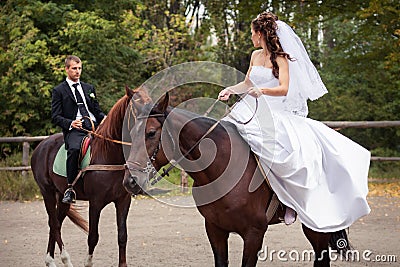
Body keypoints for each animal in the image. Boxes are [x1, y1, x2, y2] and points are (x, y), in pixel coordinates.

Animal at [31, 87, 149, 267]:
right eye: (138, 109)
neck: (108, 154)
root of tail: (41, 146)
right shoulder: (95, 203)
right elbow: (93, 237)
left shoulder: (123, 201)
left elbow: (122, 236)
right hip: (47, 192)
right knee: (54, 223)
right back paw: (64, 259)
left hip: (62, 197)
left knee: (56, 222)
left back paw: (50, 260)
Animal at [122, 93, 350, 266]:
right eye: (131, 133)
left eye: (151, 133)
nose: (130, 181)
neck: (221, 170)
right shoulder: (215, 230)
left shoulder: (254, 234)